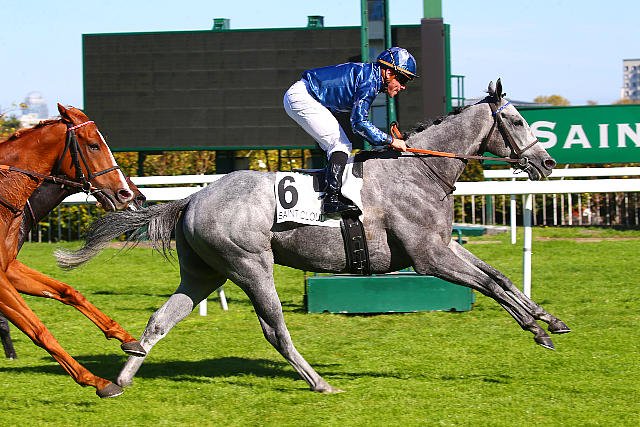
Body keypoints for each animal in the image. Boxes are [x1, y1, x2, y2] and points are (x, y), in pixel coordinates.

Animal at [0, 104, 146, 397]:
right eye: (94, 145)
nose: (129, 195)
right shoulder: (0, 279)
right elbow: (38, 329)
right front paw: (96, 380)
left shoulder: (9, 267)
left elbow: (68, 291)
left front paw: (127, 338)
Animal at [58, 81, 570, 394]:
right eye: (518, 121)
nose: (547, 163)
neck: (420, 172)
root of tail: (193, 198)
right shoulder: (428, 256)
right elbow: (488, 284)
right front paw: (538, 329)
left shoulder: (444, 247)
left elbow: (500, 278)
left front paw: (549, 321)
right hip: (251, 266)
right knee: (274, 329)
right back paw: (319, 381)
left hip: (203, 274)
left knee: (159, 320)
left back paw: (118, 382)